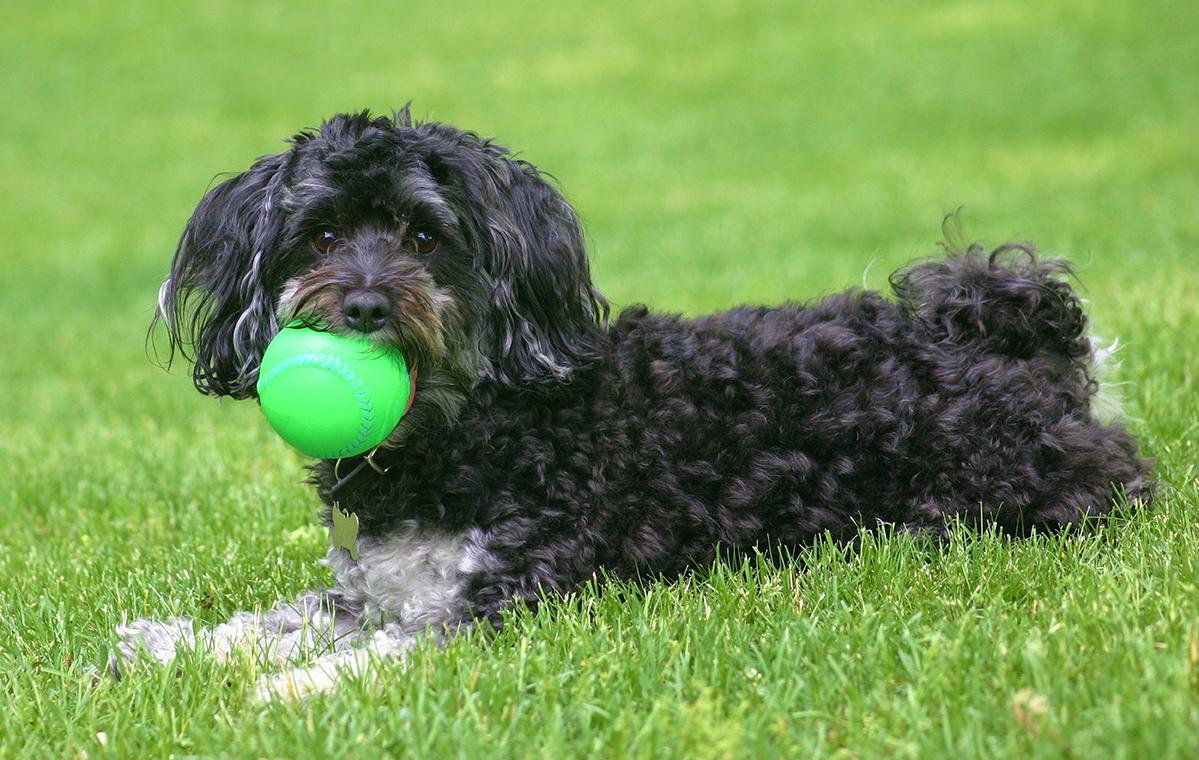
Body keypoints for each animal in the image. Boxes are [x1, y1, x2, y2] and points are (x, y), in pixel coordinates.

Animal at [116, 107, 1155, 700]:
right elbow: (267, 623)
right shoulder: (375, 587)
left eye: (424, 235)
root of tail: (1007, 339)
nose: (364, 304)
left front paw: (288, 694)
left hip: (1003, 486)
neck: (466, 430)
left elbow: (379, 653)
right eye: (323, 234)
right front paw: (166, 650)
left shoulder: (512, 598)